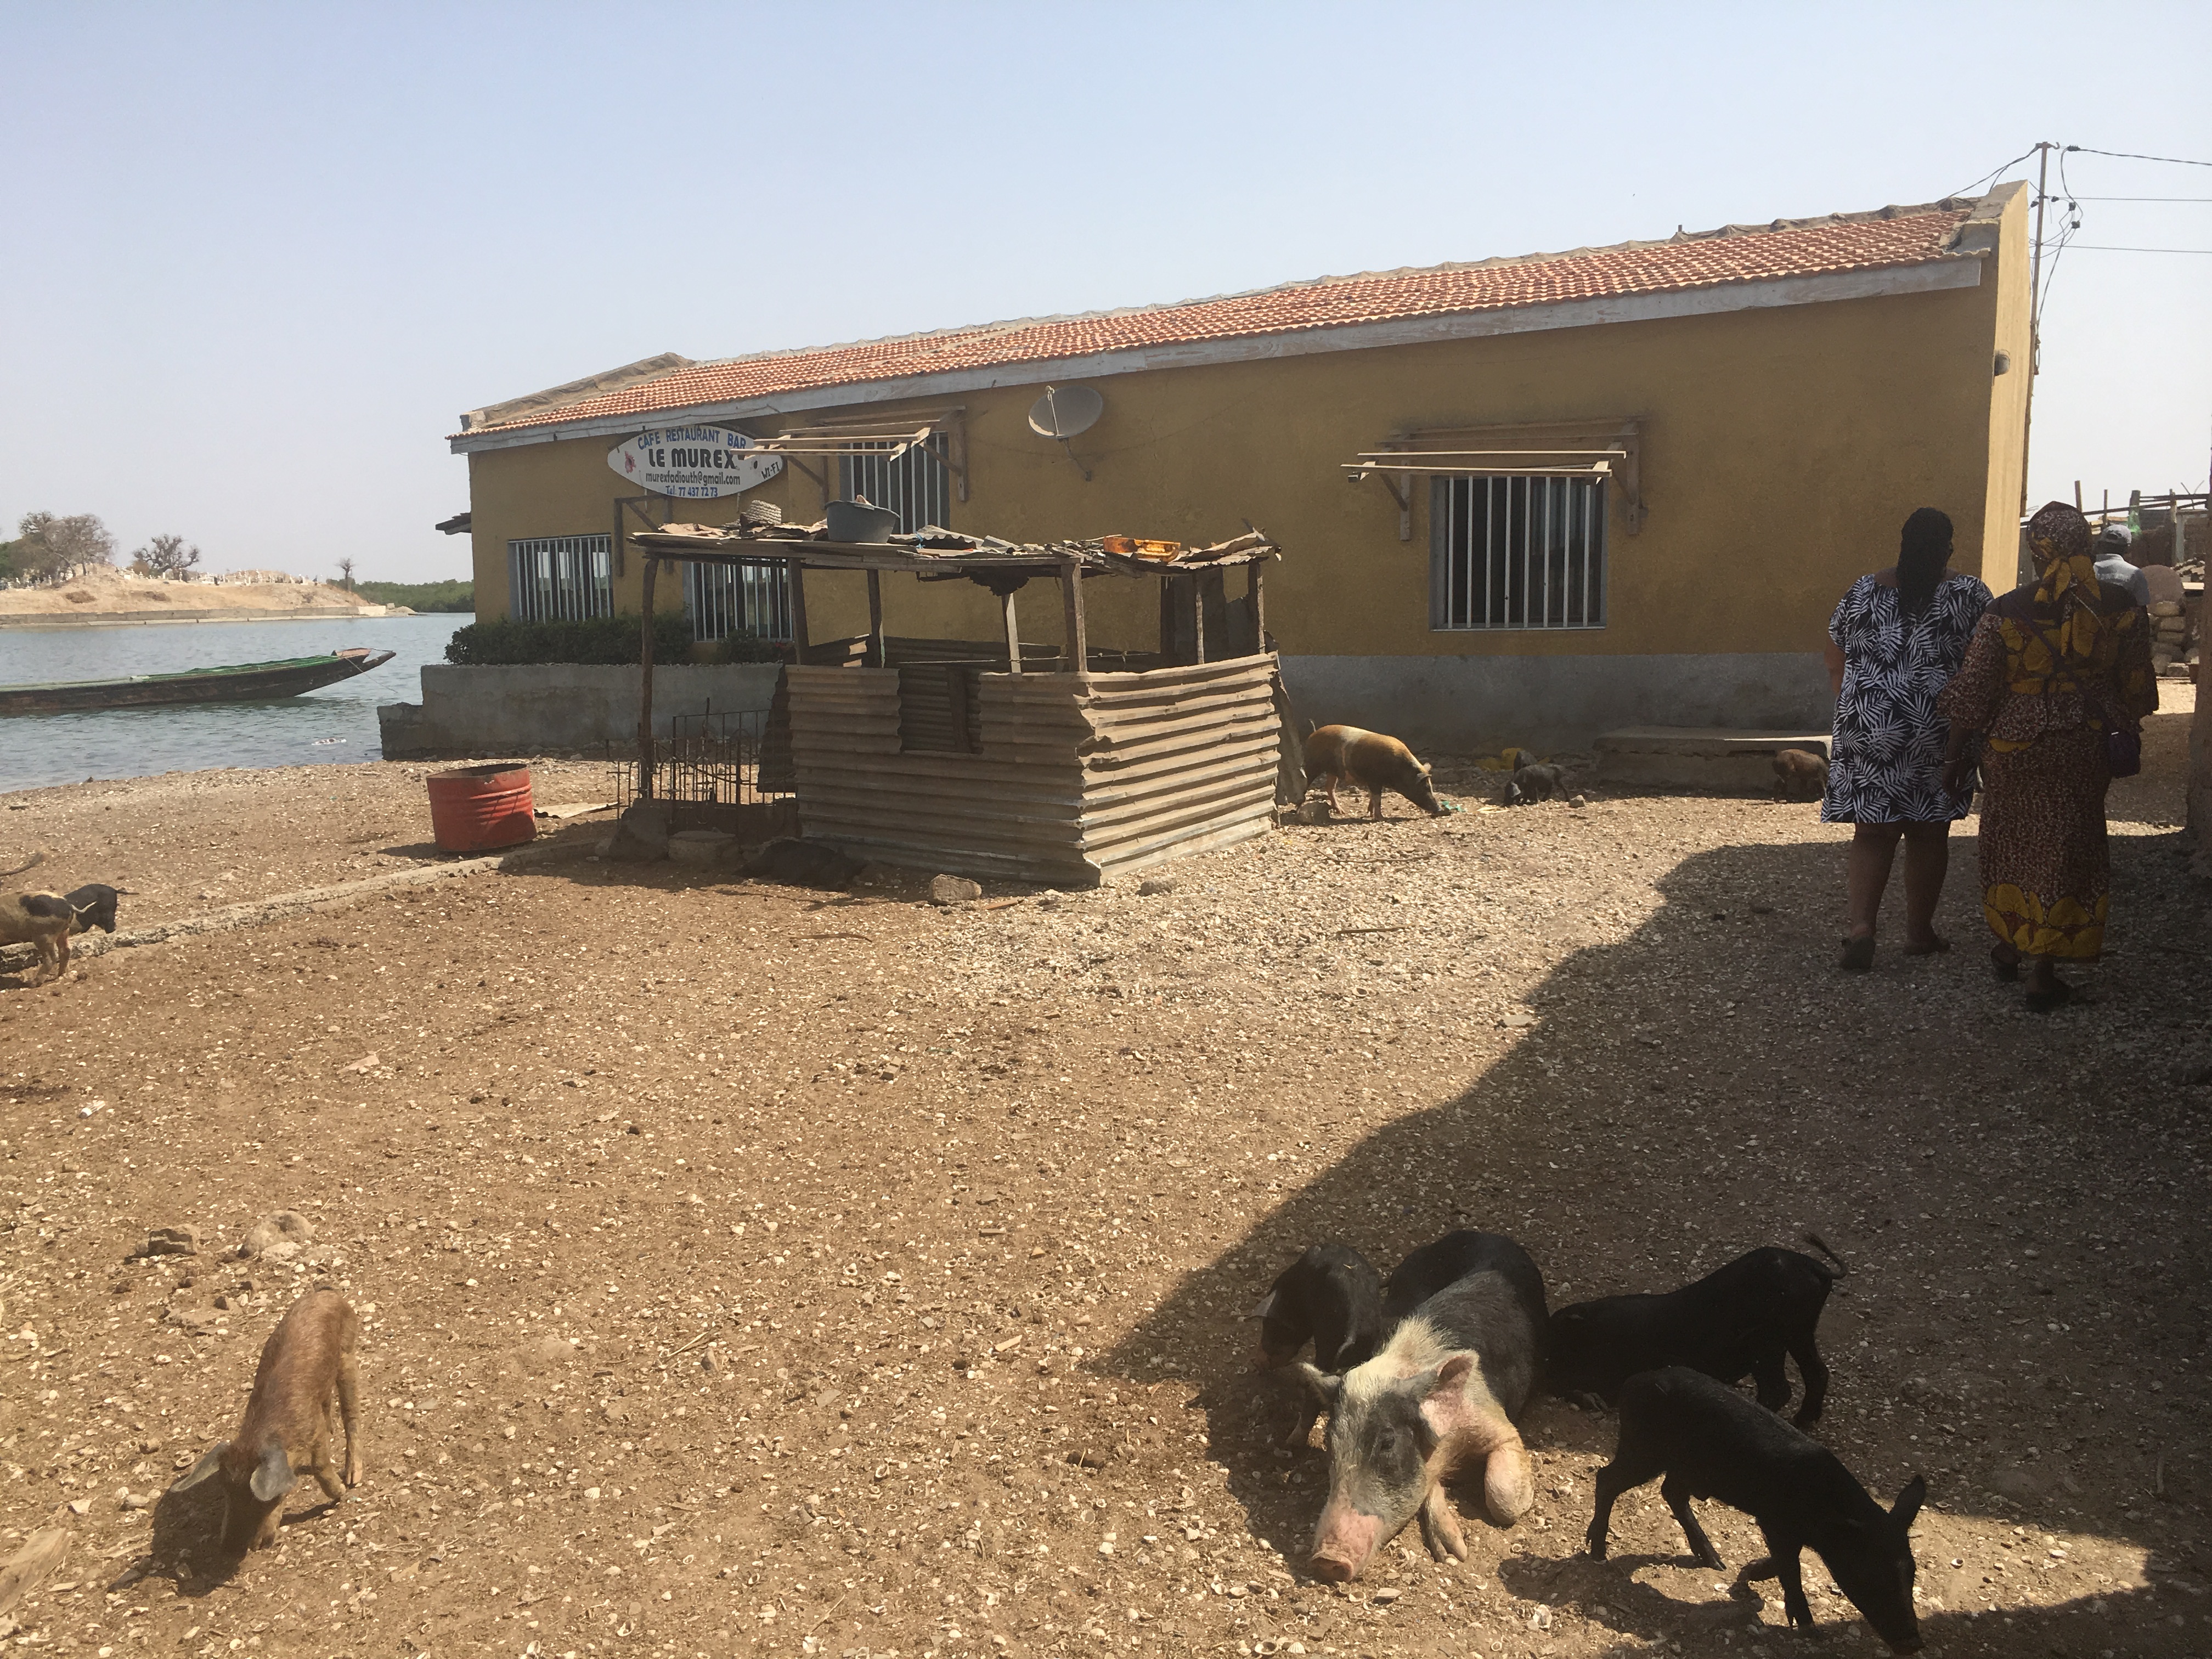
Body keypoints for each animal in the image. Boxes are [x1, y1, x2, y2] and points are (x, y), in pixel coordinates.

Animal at [168, 1291, 363, 1557]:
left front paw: (341, 1494)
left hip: (347, 1352)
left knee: (351, 1412)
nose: (229, 1548)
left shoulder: (313, 1429)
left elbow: (320, 1465)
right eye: (226, 1491)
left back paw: (353, 1478)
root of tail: (328, 1294)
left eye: (255, 1499)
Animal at [1291, 725, 1451, 822]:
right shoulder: (1374, 780)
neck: (1400, 769)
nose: (1439, 810)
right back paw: (1297, 810)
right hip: (1313, 765)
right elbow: (1377, 798)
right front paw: (1381, 818)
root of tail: (1313, 735)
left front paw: (1369, 813)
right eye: (1424, 787)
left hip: (1333, 771)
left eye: (1431, 787)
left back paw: (1341, 812)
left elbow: (1373, 797)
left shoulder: (1374, 781)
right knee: (1305, 784)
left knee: (1329, 787)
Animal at [1291, 1238, 1548, 1583]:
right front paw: (1450, 1550)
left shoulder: (1498, 1421)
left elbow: (1503, 1500)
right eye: (1330, 1442)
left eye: (1387, 1443)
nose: (1327, 1560)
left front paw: (1459, 1554)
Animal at [1548, 1248, 1840, 1433]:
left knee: (1779, 1390)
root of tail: (1818, 1269)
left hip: (1771, 1341)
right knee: (1817, 1373)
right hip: (1799, 1333)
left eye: (1561, 1339)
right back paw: (1801, 1421)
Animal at [1593, 1371, 1920, 1654]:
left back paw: (1716, 1563)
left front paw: (1750, 1572)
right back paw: (1598, 1554)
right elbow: (1790, 1566)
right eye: (1868, 1575)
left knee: (1671, 1492)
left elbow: (1786, 1561)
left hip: (1685, 1467)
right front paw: (1810, 1630)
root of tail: (1634, 1382)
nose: (1914, 1644)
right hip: (1643, 1450)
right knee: (1606, 1478)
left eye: (1912, 1573)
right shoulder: (1774, 1522)